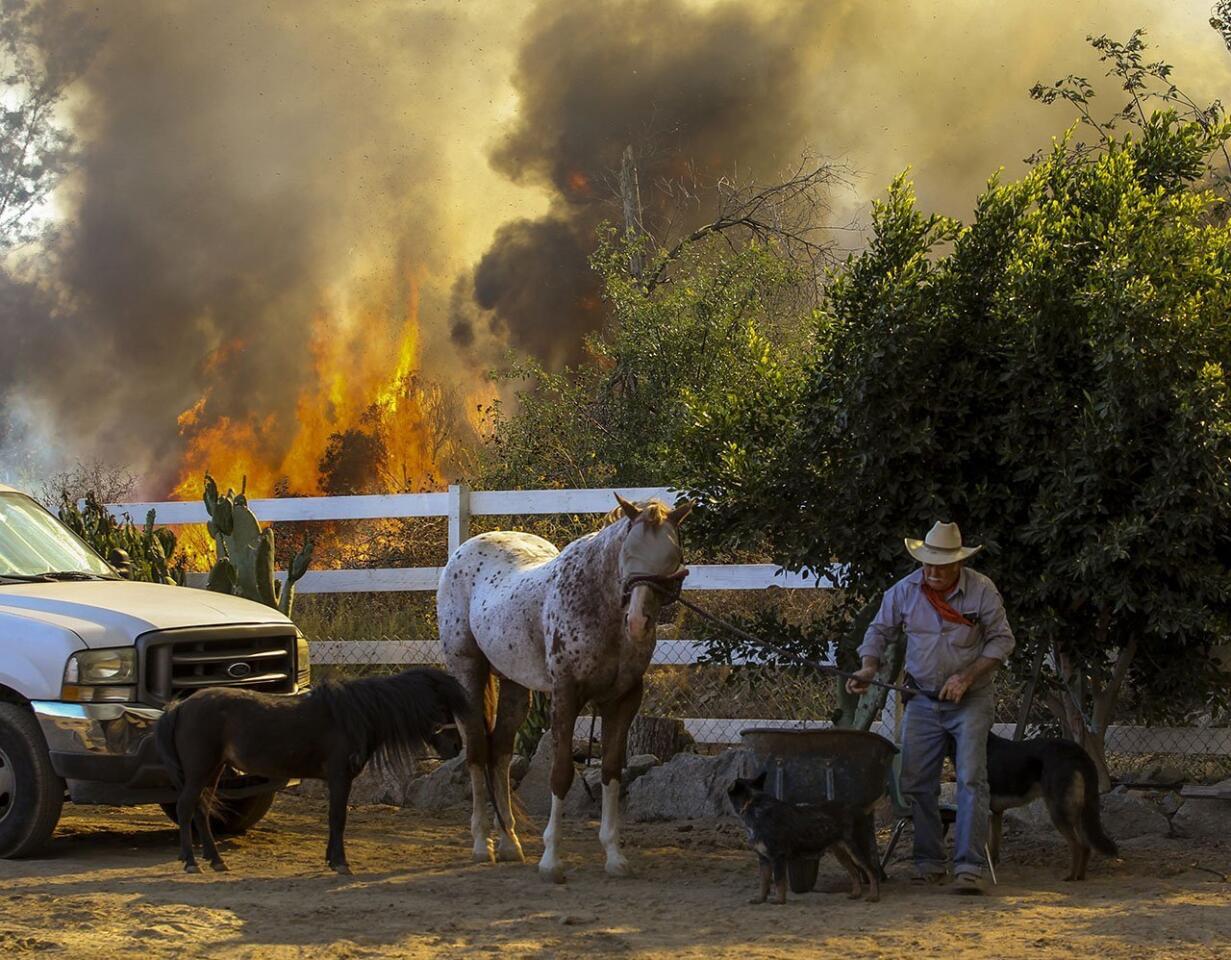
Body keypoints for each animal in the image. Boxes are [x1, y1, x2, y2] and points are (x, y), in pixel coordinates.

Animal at [150, 664, 465, 871]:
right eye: (442, 709)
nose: (457, 747)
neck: (352, 715)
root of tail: (180, 707)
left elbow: (333, 818)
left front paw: (331, 859)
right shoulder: (340, 776)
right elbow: (338, 817)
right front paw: (340, 863)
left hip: (213, 770)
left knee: (201, 809)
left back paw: (215, 860)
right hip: (200, 770)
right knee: (186, 807)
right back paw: (192, 862)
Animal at [435, 494, 689, 886]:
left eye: (671, 556)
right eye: (627, 553)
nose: (637, 623)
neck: (599, 606)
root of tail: (464, 550)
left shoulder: (624, 700)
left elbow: (611, 771)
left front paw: (615, 857)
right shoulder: (566, 695)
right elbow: (561, 774)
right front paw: (551, 861)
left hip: (514, 683)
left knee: (500, 753)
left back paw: (509, 842)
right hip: (467, 672)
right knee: (477, 750)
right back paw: (481, 844)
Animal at [723, 772, 881, 900]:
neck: (754, 806)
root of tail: (859, 809)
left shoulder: (777, 856)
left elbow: (779, 881)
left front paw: (779, 901)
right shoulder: (764, 859)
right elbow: (764, 882)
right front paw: (760, 899)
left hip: (857, 849)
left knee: (872, 871)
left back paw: (874, 896)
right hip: (841, 853)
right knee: (854, 872)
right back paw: (856, 894)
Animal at [984, 733, 1122, 881]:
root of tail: (1077, 751)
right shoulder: (995, 813)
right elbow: (992, 849)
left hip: (1058, 812)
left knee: (1077, 846)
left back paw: (1071, 877)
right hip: (1079, 813)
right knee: (1085, 847)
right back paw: (1080, 876)